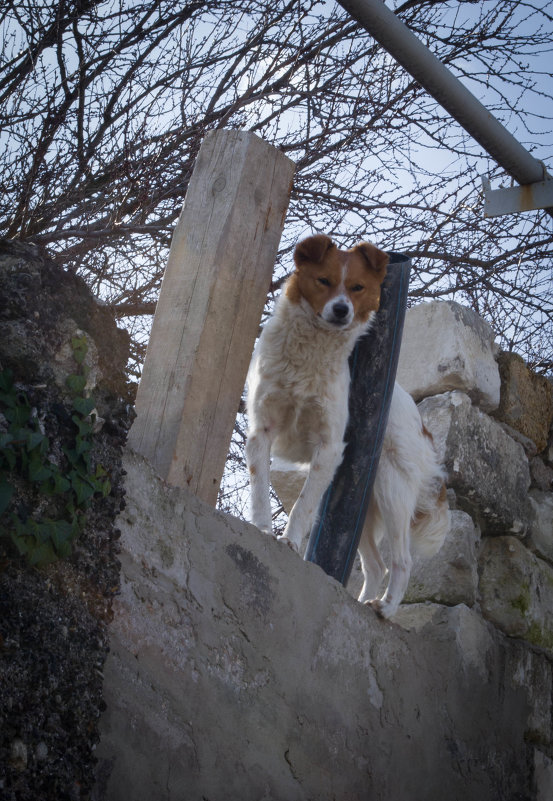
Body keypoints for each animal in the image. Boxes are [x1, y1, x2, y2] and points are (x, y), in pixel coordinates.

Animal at [246, 231, 448, 620]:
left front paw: (290, 541)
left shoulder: (328, 447)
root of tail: (423, 427)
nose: (341, 310)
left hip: (391, 489)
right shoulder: (262, 430)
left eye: (357, 287)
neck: (309, 355)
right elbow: (260, 489)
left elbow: (303, 505)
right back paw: (357, 600)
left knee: (401, 562)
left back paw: (386, 608)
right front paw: (261, 528)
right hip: (363, 506)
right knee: (375, 565)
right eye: (323, 281)